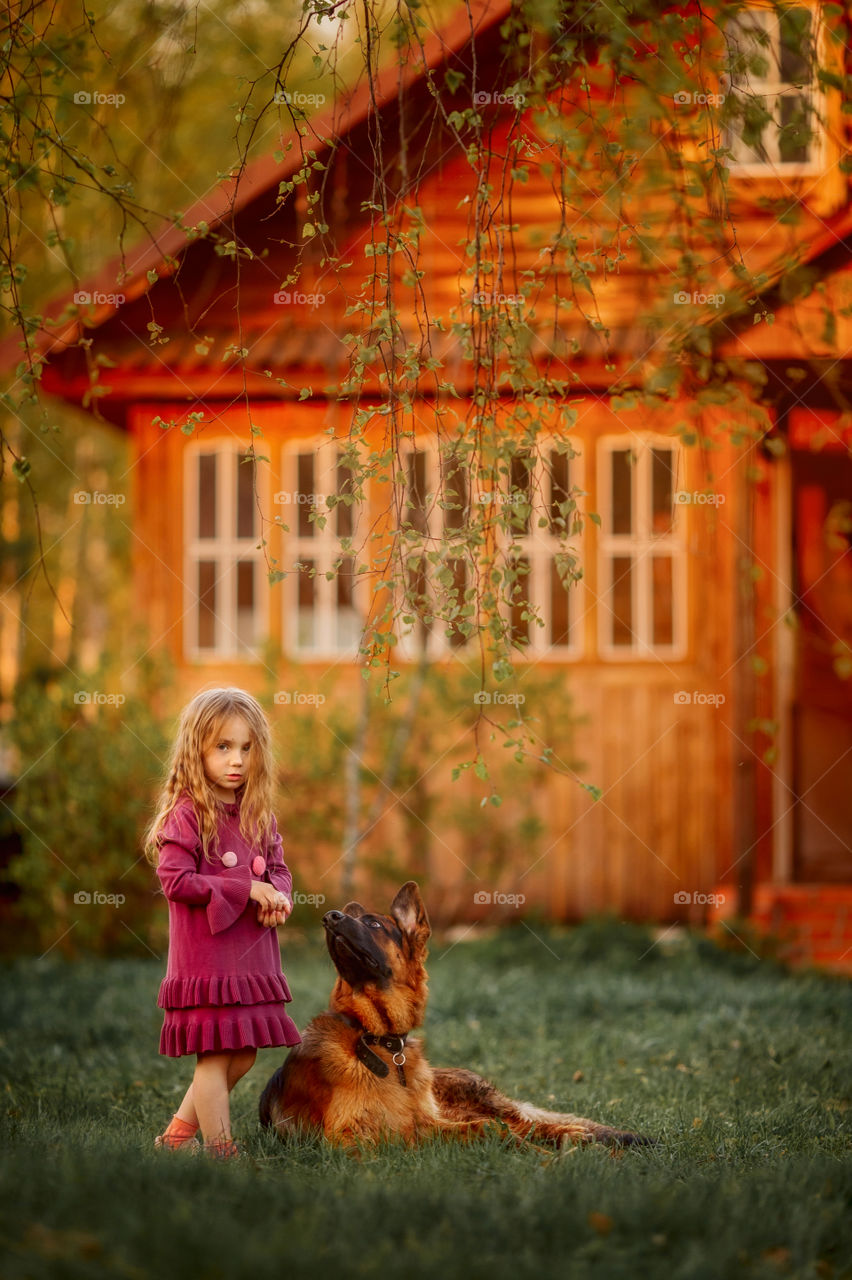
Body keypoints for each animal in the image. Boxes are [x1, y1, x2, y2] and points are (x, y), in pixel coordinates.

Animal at [257, 885, 644, 1146]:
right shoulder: (350, 1137)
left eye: (375, 925)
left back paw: (580, 1137)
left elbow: (486, 1128)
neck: (378, 1040)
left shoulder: (430, 1122)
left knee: (527, 1124)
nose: (329, 917)